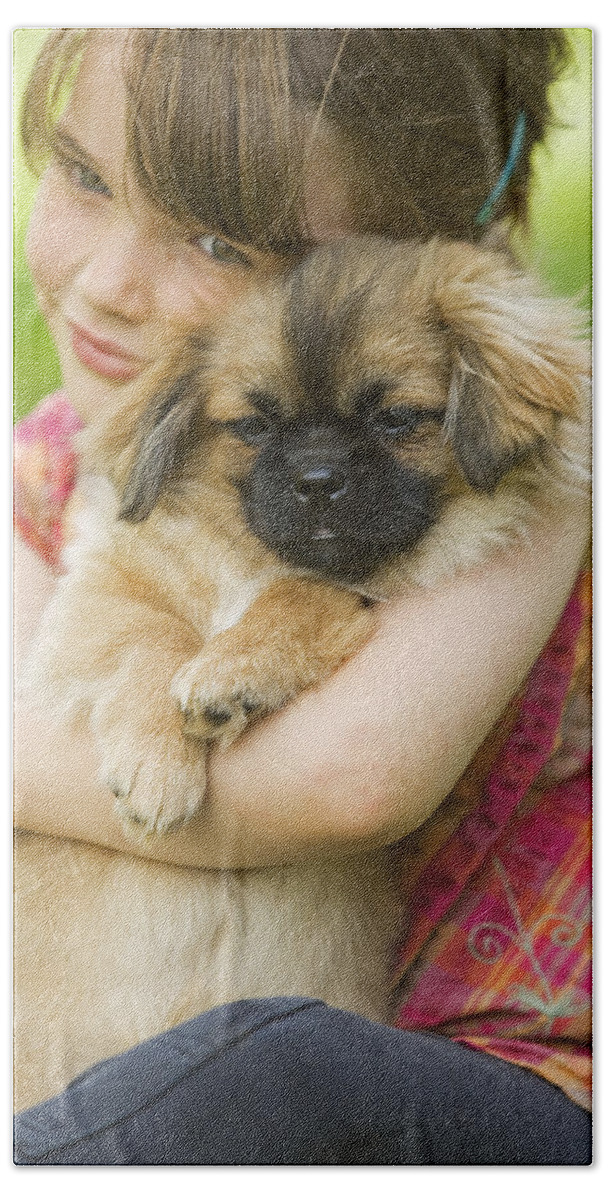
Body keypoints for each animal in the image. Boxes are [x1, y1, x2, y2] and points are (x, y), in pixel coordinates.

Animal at [14, 234, 587, 1104]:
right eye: (253, 426)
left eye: (396, 420)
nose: (317, 480)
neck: (244, 557)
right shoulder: (101, 600)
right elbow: (152, 645)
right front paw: (157, 768)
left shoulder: (347, 590)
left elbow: (301, 593)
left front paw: (231, 674)